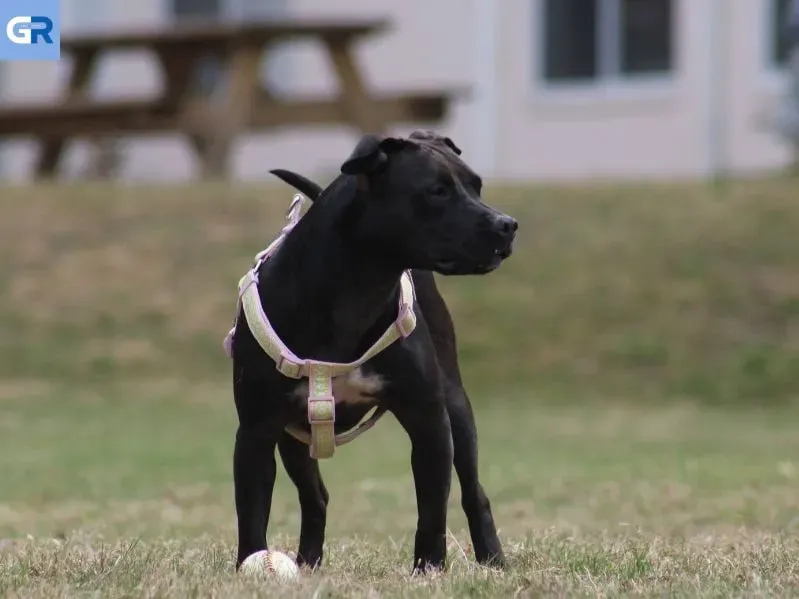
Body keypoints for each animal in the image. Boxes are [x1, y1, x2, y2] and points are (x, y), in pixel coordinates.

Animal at [231, 130, 520, 572]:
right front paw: (250, 565)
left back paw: (493, 559)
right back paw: (308, 563)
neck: (357, 291)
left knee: (474, 491)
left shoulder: (429, 420)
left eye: (477, 186)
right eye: (437, 191)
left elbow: (431, 510)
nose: (507, 224)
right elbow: (252, 513)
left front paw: (429, 569)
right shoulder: (257, 430)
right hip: (295, 436)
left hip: (457, 407)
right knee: (315, 497)